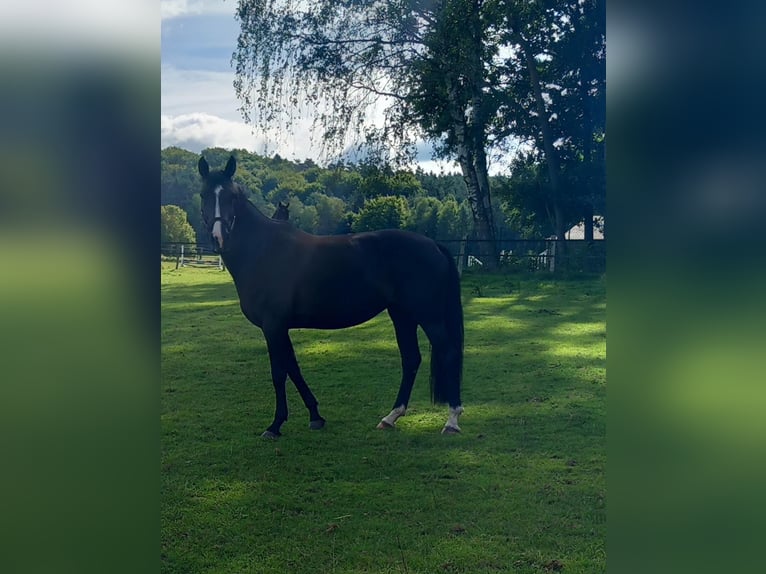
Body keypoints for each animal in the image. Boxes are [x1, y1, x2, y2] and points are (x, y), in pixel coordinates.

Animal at [198, 155, 464, 438]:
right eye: (204, 195)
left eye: (231, 197)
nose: (218, 238)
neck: (263, 250)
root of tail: (433, 244)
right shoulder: (280, 328)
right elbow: (293, 368)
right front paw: (315, 416)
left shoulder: (273, 326)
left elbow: (279, 373)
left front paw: (275, 424)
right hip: (402, 315)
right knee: (411, 359)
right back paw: (391, 417)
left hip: (429, 316)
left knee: (448, 353)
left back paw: (451, 420)